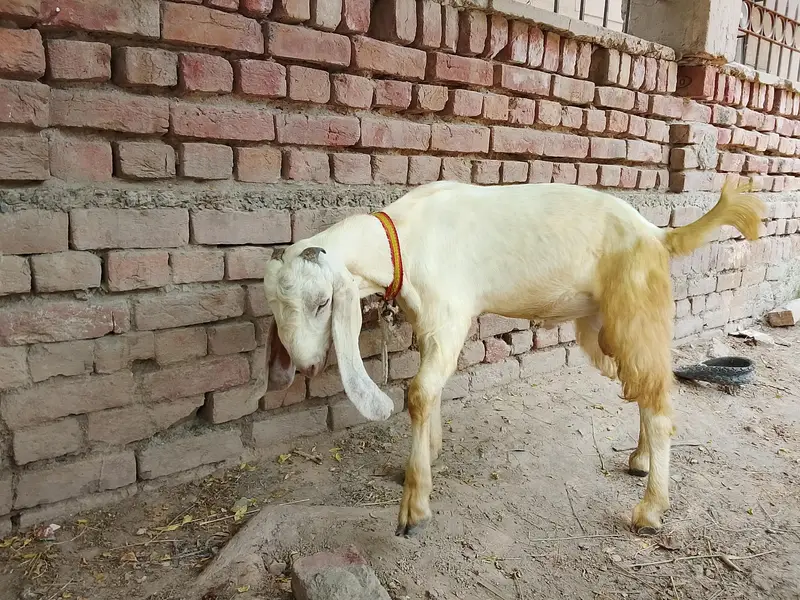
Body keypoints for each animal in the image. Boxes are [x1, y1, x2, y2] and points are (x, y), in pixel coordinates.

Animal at [262, 178, 764, 537]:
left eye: (322, 303)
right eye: (275, 307)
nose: (305, 366)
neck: (403, 239)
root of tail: (659, 236)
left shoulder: (450, 313)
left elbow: (419, 392)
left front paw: (414, 507)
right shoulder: (428, 323)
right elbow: (433, 390)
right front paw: (429, 455)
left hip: (637, 309)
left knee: (659, 403)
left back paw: (650, 509)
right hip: (604, 328)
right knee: (643, 387)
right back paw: (639, 459)